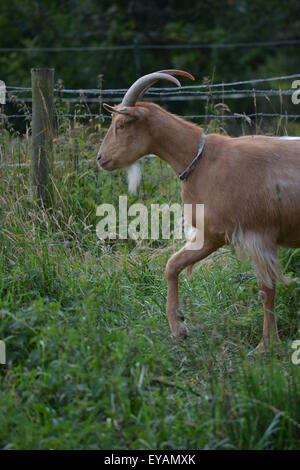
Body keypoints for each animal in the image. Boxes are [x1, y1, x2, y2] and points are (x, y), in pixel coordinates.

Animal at [96, 69, 300, 348]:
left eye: (121, 124)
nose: (100, 158)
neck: (204, 159)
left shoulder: (259, 234)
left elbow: (266, 289)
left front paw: (266, 346)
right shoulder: (212, 234)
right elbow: (172, 265)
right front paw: (178, 327)